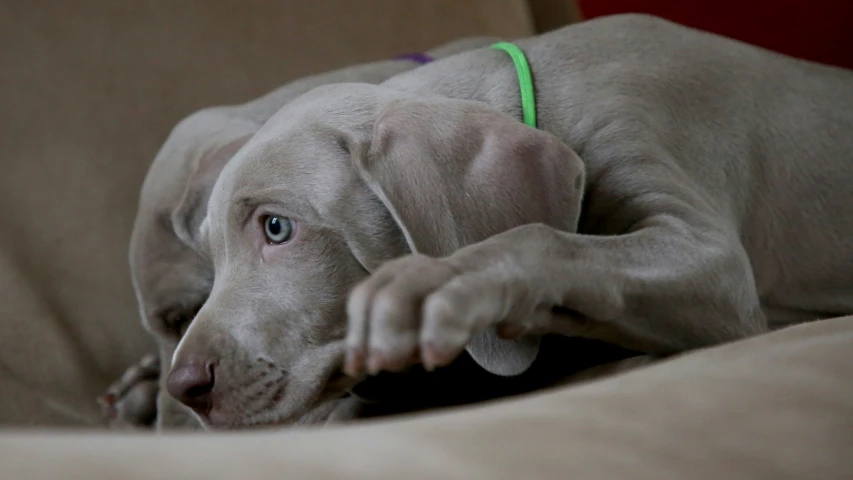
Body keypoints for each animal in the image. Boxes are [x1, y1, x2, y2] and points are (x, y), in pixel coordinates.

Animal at [168, 14, 852, 428]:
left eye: (276, 227)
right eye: (210, 256)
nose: (182, 385)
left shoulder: (714, 266)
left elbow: (542, 236)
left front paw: (445, 280)